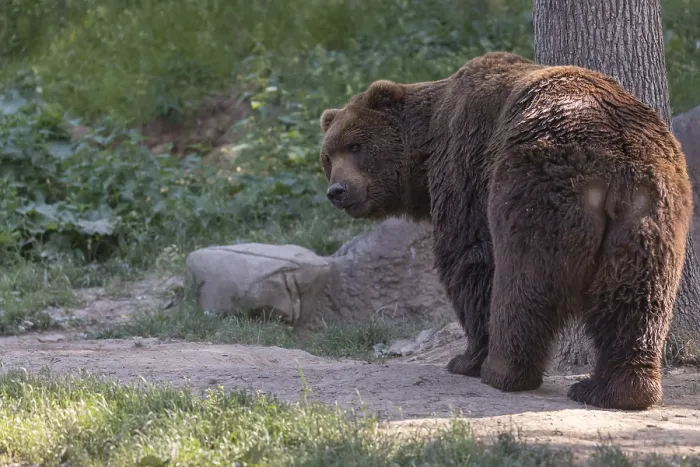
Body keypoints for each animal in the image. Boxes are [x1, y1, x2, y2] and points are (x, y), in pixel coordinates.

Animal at [318, 51, 693, 411]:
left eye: (355, 146)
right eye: (327, 156)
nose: (338, 191)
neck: (427, 151)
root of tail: (614, 156)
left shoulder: (465, 165)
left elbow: (470, 258)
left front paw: (464, 358)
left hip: (535, 186)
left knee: (523, 278)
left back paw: (504, 372)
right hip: (650, 214)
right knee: (634, 295)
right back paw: (612, 390)